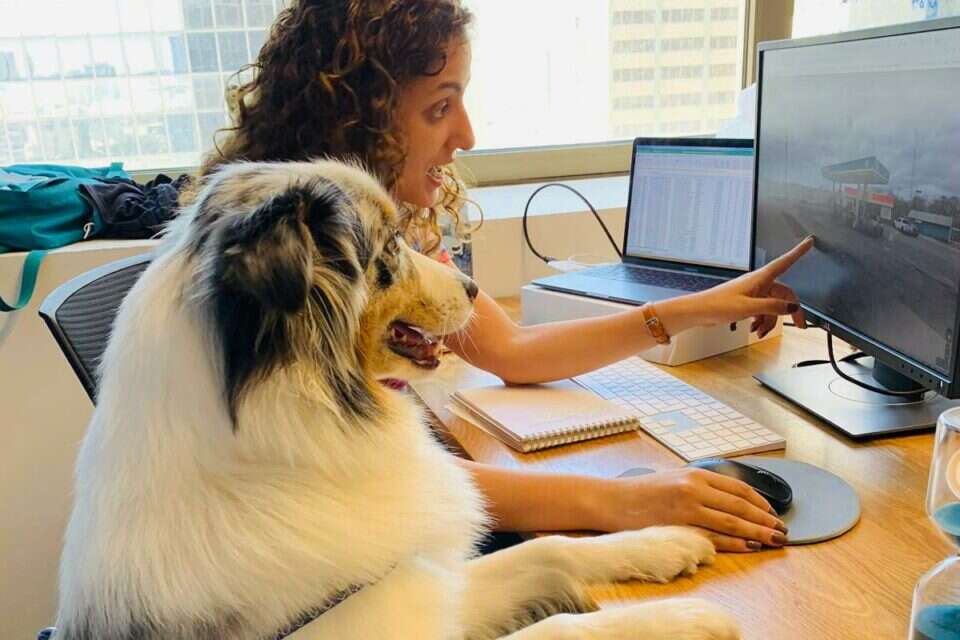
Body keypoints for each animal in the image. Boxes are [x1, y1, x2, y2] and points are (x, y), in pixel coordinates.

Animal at [54, 159, 740, 639]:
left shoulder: (420, 578)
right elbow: (564, 626)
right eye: (388, 247)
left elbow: (549, 548)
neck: (275, 459)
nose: (474, 286)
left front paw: (665, 542)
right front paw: (687, 620)